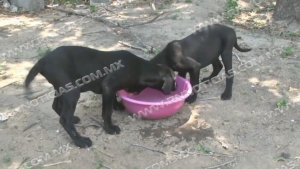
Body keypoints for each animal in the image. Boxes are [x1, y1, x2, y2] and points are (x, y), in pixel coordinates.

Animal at [25, 45, 177, 147]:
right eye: (174, 80)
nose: (176, 88)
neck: (139, 68)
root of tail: (41, 61)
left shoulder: (110, 88)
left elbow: (113, 100)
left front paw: (118, 105)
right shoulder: (108, 85)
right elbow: (107, 111)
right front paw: (110, 128)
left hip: (61, 89)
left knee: (56, 107)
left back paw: (74, 120)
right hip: (72, 91)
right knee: (64, 119)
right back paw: (80, 141)